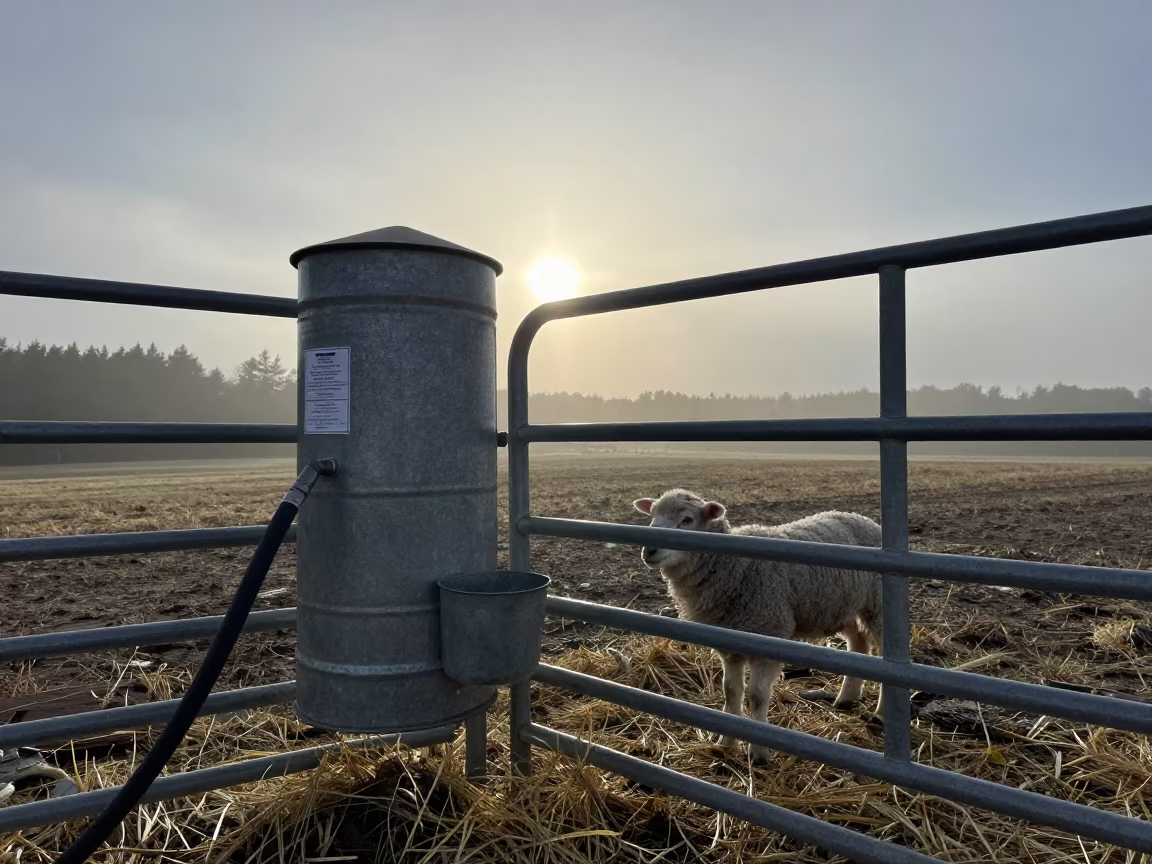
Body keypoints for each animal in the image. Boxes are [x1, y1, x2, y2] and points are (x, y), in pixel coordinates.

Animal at [632, 488, 884, 763]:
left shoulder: (769, 635)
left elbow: (757, 696)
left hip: (878, 605)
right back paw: (847, 698)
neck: (732, 568)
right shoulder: (728, 644)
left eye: (687, 520)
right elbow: (731, 692)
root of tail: (860, 517)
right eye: (652, 515)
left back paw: (880, 713)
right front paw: (725, 744)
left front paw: (759, 752)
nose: (649, 550)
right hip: (843, 606)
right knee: (859, 645)